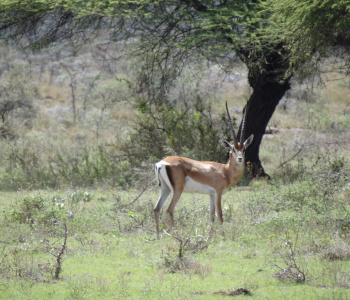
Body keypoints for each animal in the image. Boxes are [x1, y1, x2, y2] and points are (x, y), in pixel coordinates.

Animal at [154, 102, 253, 237]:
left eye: (243, 149)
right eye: (232, 149)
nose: (240, 158)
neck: (225, 171)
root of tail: (161, 163)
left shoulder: (211, 195)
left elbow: (211, 215)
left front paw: (210, 237)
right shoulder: (218, 193)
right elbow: (220, 214)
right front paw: (223, 236)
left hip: (165, 189)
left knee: (156, 209)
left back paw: (158, 237)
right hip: (177, 190)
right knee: (169, 209)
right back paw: (176, 235)